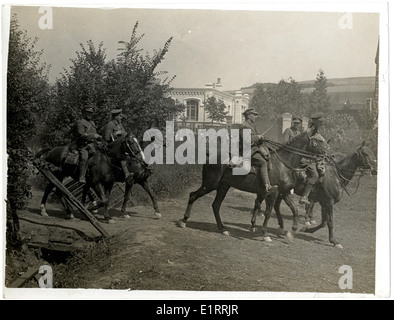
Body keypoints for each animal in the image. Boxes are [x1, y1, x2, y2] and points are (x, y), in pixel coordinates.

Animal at [177, 129, 318, 240]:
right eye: (318, 141)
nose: (322, 156)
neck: (282, 164)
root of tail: (209, 156)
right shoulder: (273, 193)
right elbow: (268, 212)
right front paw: (265, 234)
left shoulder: (285, 192)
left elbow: (294, 209)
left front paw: (292, 231)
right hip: (210, 184)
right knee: (193, 195)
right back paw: (183, 221)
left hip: (223, 187)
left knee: (215, 205)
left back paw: (223, 229)